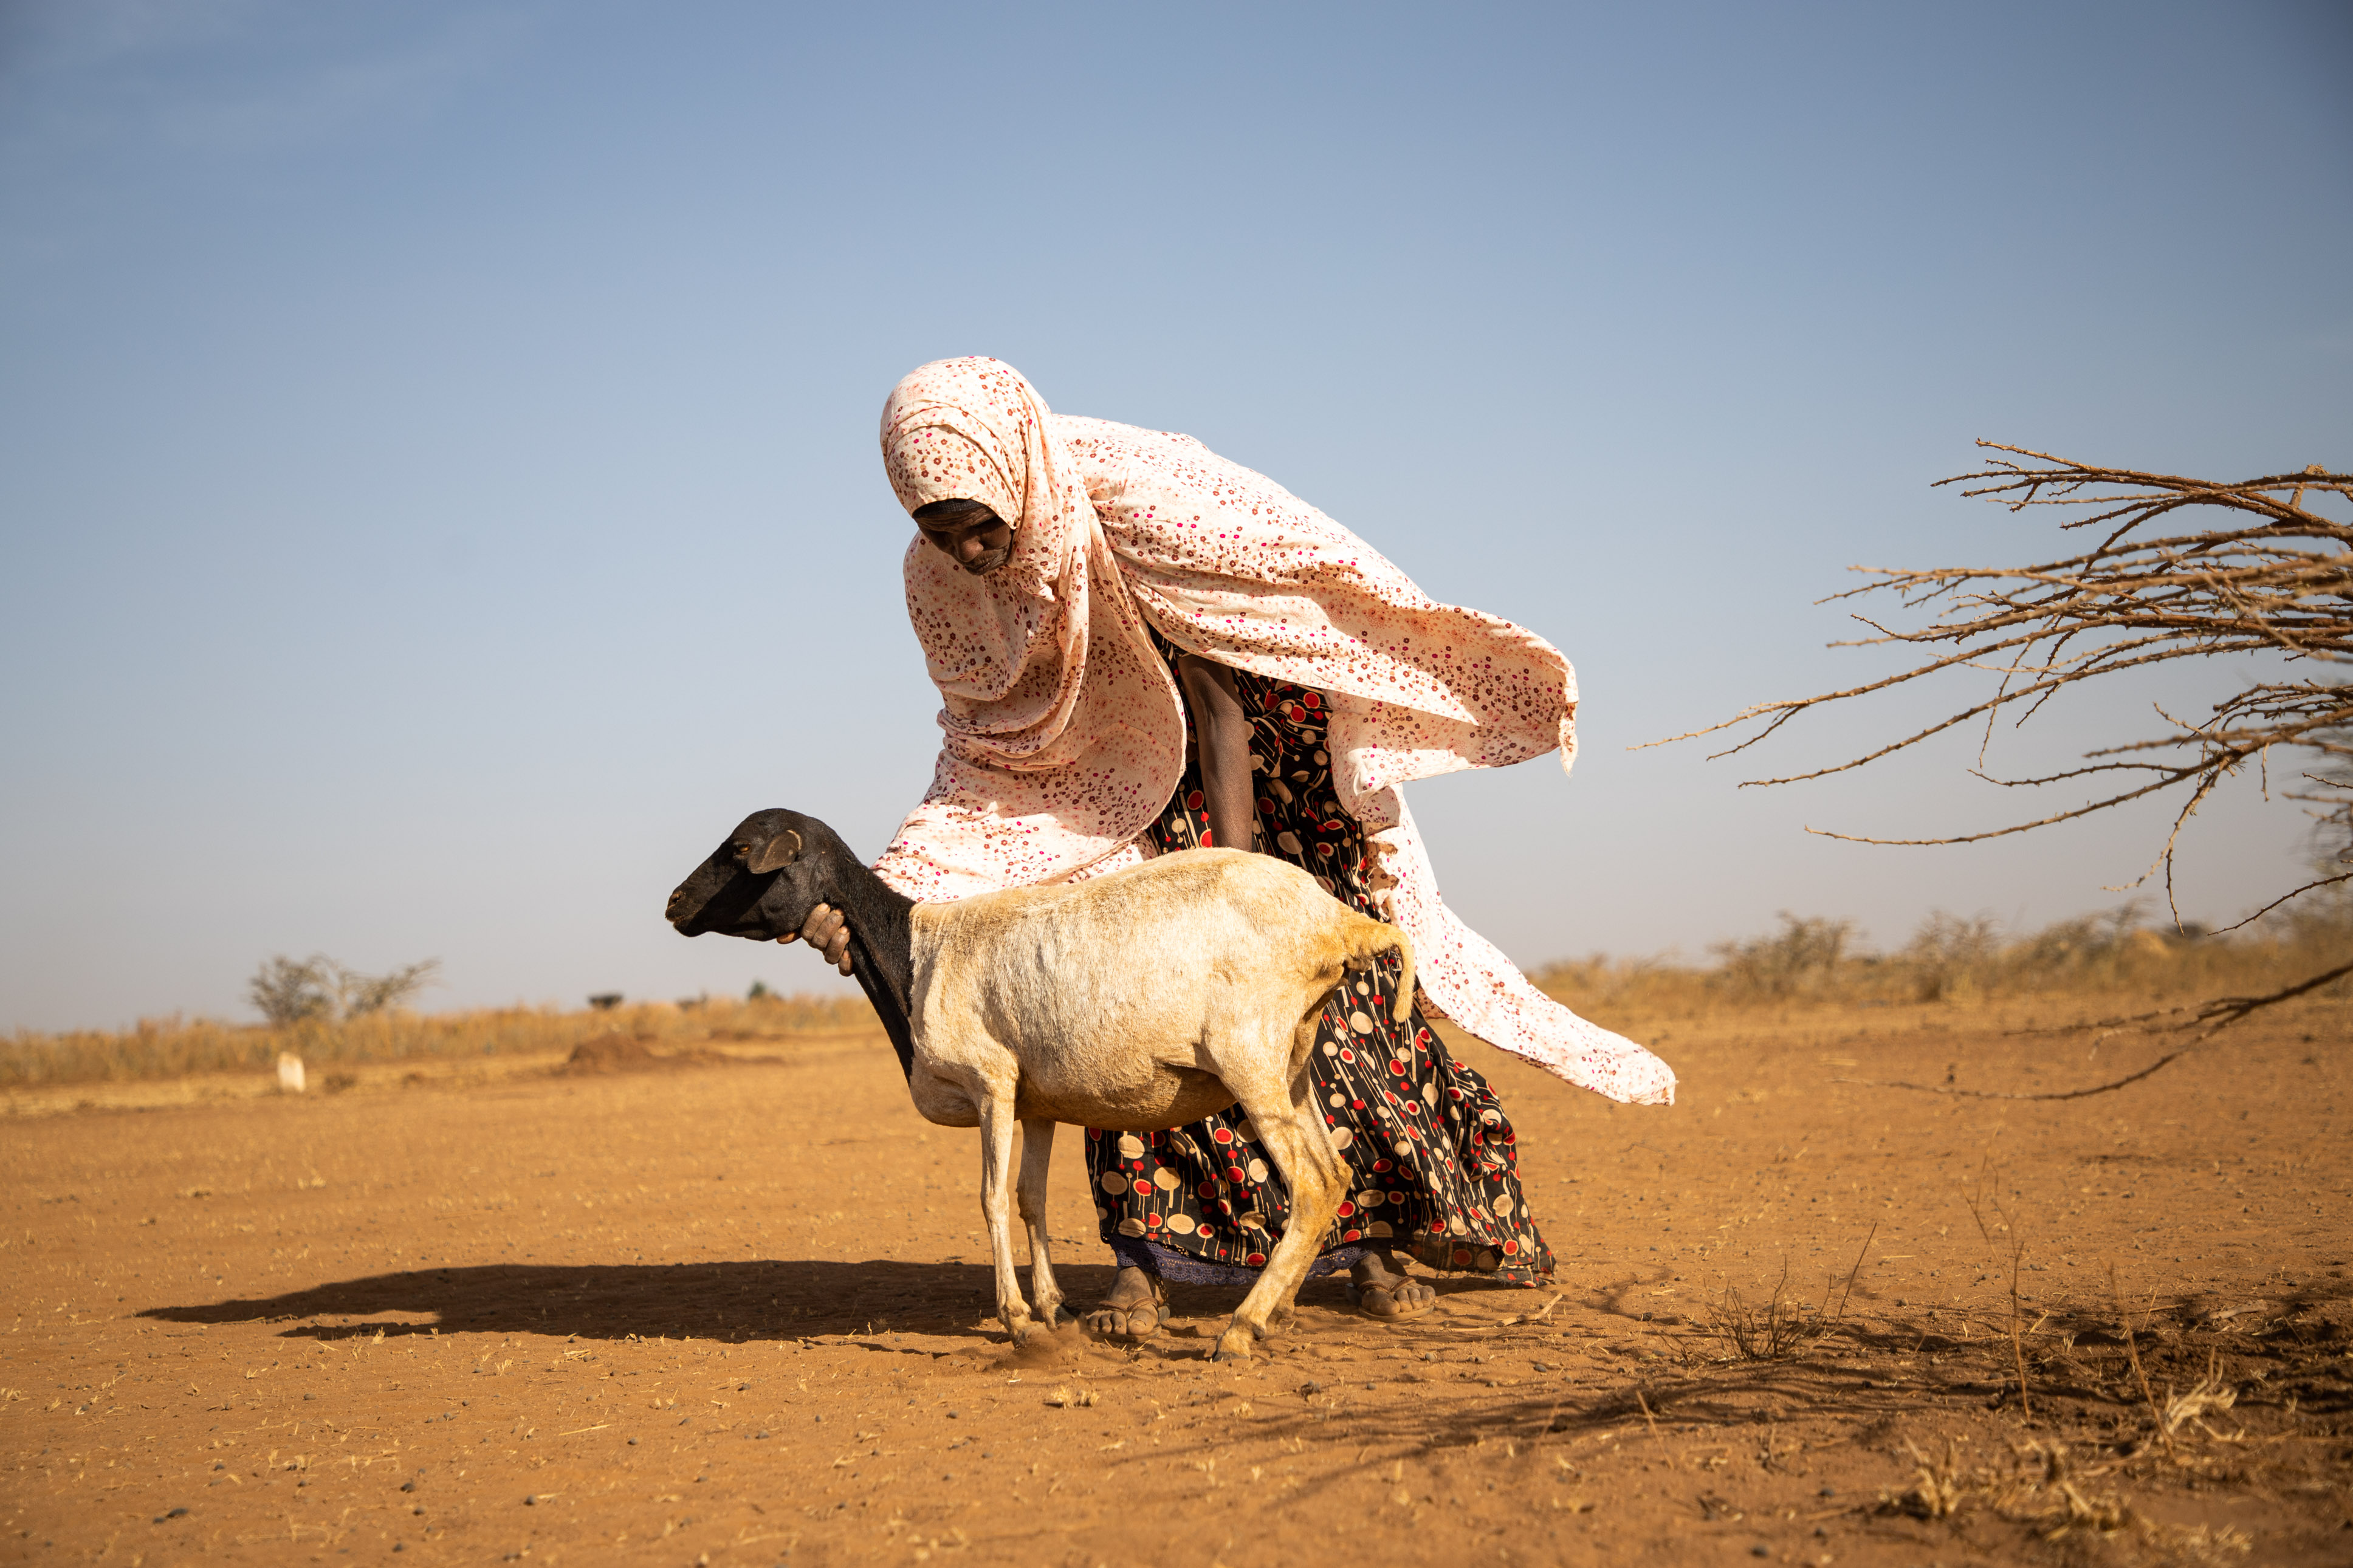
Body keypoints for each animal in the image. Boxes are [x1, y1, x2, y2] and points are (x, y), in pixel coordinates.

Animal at [659, 809, 1412, 1363]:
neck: (915, 955)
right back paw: (1275, 1309)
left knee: (1312, 1183)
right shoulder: (1037, 1102)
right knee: (1337, 1174)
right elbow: (1030, 1200)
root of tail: (1338, 921)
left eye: (739, 849)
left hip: (1248, 1055)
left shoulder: (990, 1081)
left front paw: (1018, 1321)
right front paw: (1054, 1309)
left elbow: (990, 1198)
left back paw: (1242, 1328)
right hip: (1291, 1064)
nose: (672, 903)